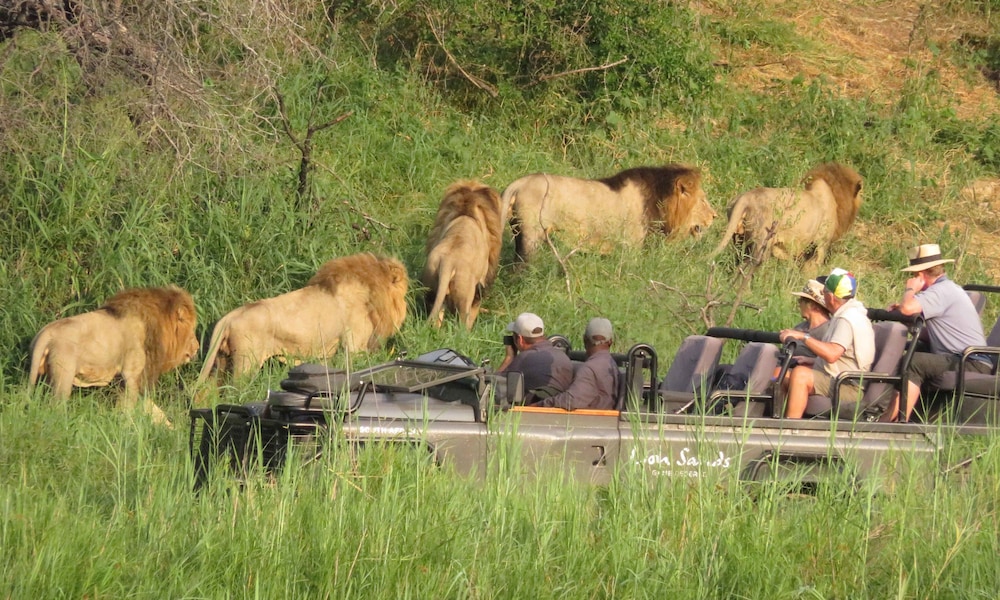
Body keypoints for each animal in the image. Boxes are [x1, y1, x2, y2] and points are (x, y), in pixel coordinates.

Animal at [28, 285, 200, 422]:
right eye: (192, 330)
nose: (197, 347)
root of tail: (46, 333)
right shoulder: (132, 374)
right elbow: (130, 405)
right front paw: (127, 426)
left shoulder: (121, 380)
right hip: (63, 375)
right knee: (56, 404)